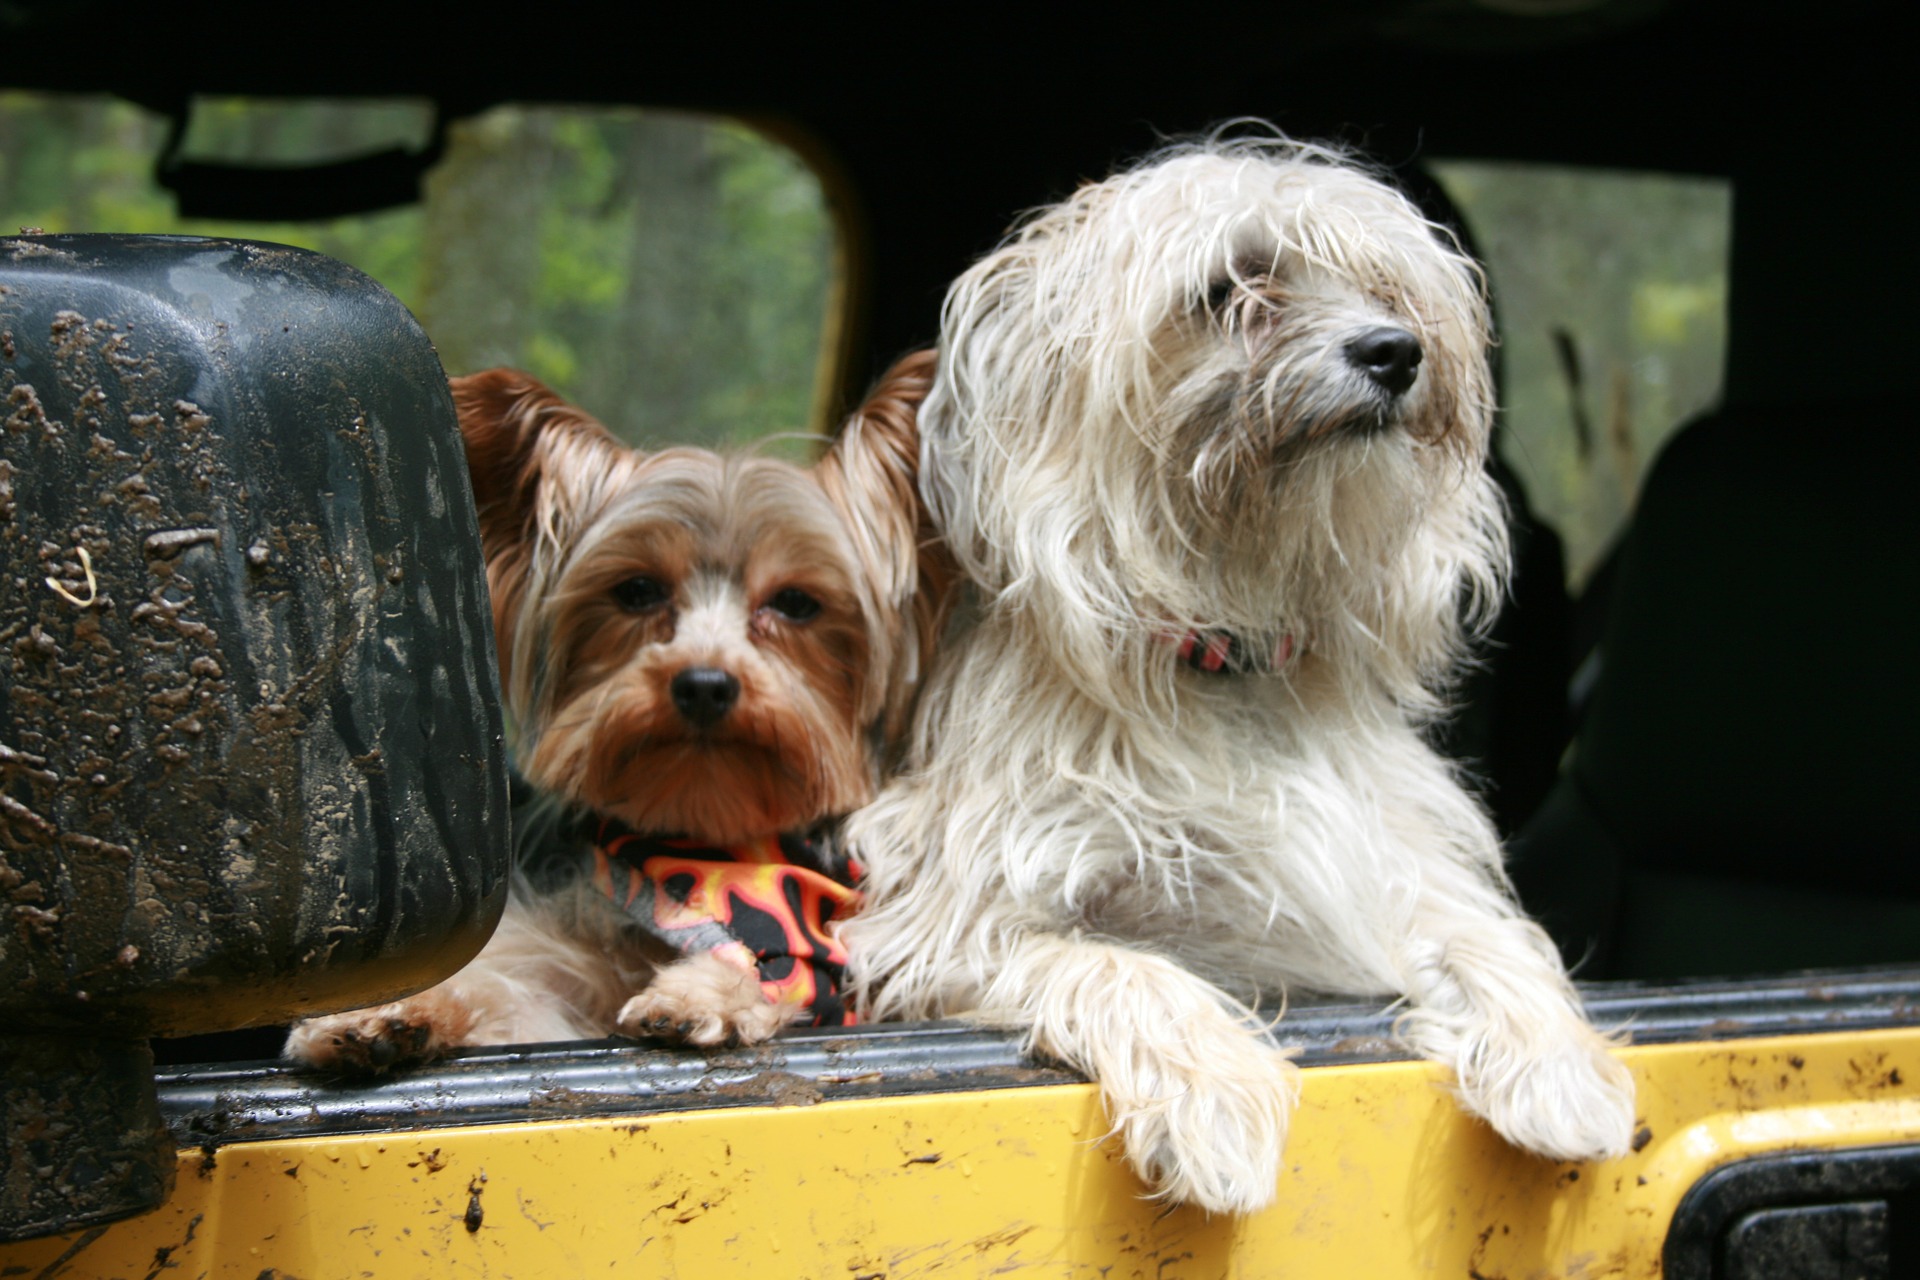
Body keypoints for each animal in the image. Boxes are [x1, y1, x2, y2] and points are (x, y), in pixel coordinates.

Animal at [840, 135, 1635, 1220]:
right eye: (1231, 288)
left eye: (1385, 286)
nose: (1396, 350)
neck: (1234, 652)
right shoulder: (948, 919)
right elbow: (1125, 964)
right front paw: (1213, 1096)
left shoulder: (1373, 873)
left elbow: (1485, 935)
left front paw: (1561, 1066)